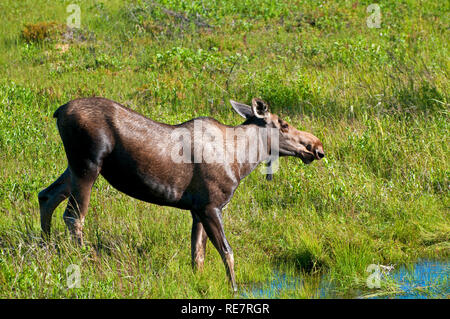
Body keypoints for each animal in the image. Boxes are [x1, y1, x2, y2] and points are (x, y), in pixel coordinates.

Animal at [38, 98, 324, 292]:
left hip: (75, 167)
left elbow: (198, 255)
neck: (243, 161)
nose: (317, 146)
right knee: (74, 217)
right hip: (88, 165)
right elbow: (227, 251)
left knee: (46, 195)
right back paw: (86, 263)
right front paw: (234, 288)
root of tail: (58, 112)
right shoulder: (211, 206)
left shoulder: (197, 210)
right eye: (284, 124)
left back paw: (46, 248)